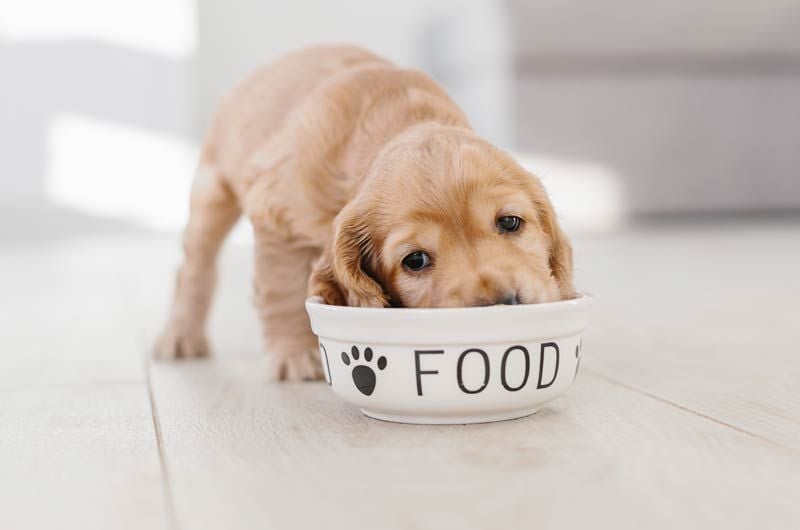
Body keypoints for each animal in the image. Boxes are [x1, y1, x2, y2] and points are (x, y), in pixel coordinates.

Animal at [156, 43, 572, 378]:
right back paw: (180, 335)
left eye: (510, 222)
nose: (504, 303)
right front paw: (293, 356)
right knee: (193, 269)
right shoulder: (277, 217)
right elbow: (282, 289)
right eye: (415, 260)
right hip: (212, 194)